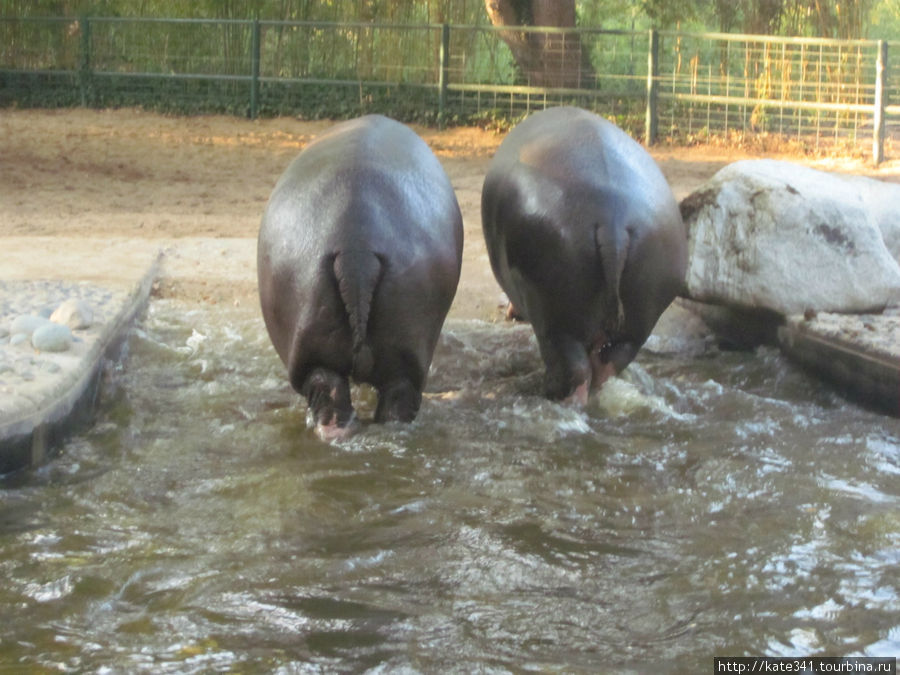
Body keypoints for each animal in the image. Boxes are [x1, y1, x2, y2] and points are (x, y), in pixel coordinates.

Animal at [482, 105, 684, 402]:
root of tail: (613, 225)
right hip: (640, 320)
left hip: (555, 317)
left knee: (575, 368)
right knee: (608, 363)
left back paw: (557, 396)